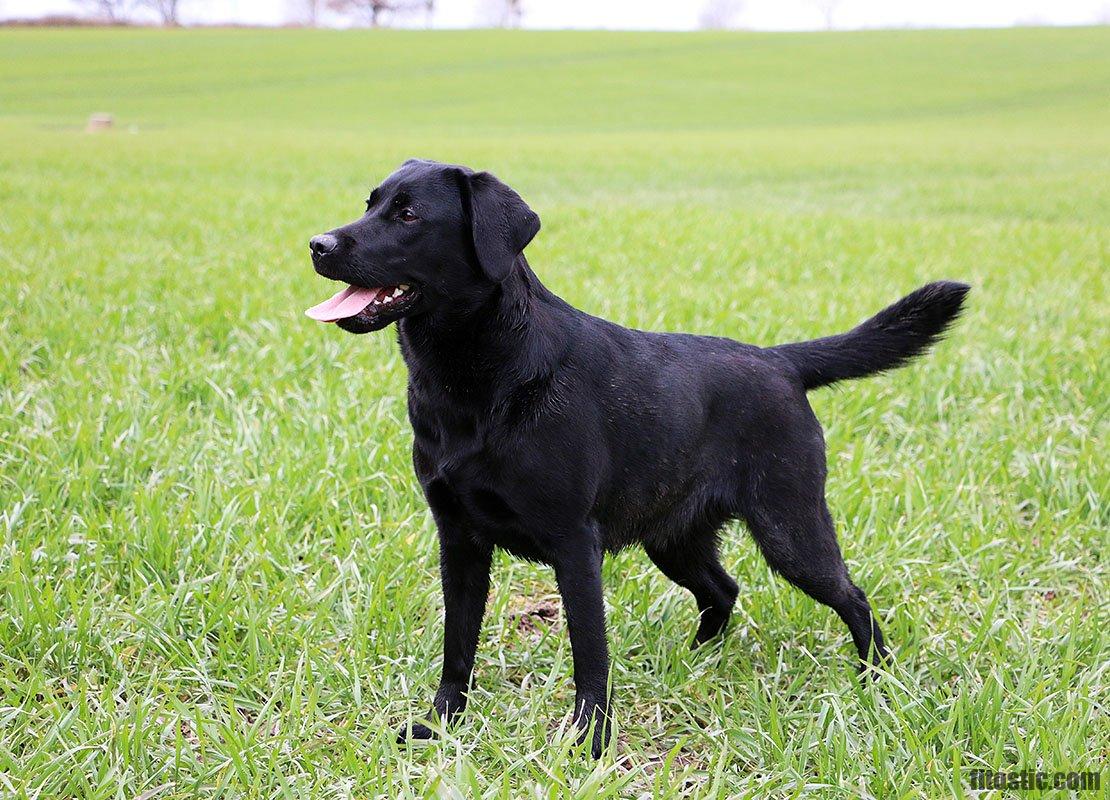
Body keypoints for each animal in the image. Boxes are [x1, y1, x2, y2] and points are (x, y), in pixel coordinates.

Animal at [306, 158, 972, 758]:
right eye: (370, 204)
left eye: (409, 214)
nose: (317, 244)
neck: (479, 375)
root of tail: (779, 361)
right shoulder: (459, 538)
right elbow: (457, 644)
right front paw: (441, 725)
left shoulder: (574, 543)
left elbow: (589, 654)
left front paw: (590, 743)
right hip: (674, 538)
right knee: (723, 589)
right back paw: (696, 663)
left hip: (792, 530)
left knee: (852, 597)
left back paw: (876, 680)